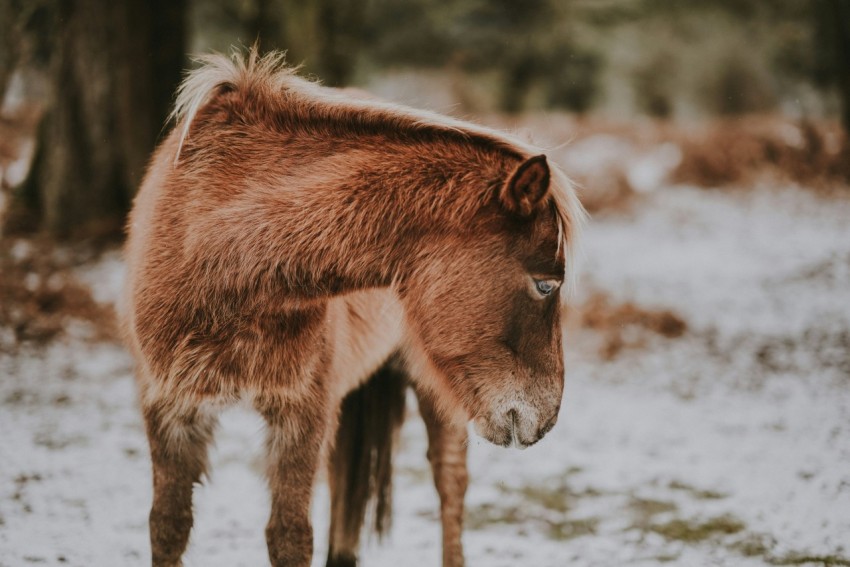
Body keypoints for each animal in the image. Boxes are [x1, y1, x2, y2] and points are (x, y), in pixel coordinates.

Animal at [121, 48, 585, 567]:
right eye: (545, 285)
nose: (546, 421)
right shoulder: (168, 410)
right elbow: (168, 526)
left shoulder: (301, 418)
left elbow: (289, 535)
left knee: (449, 482)